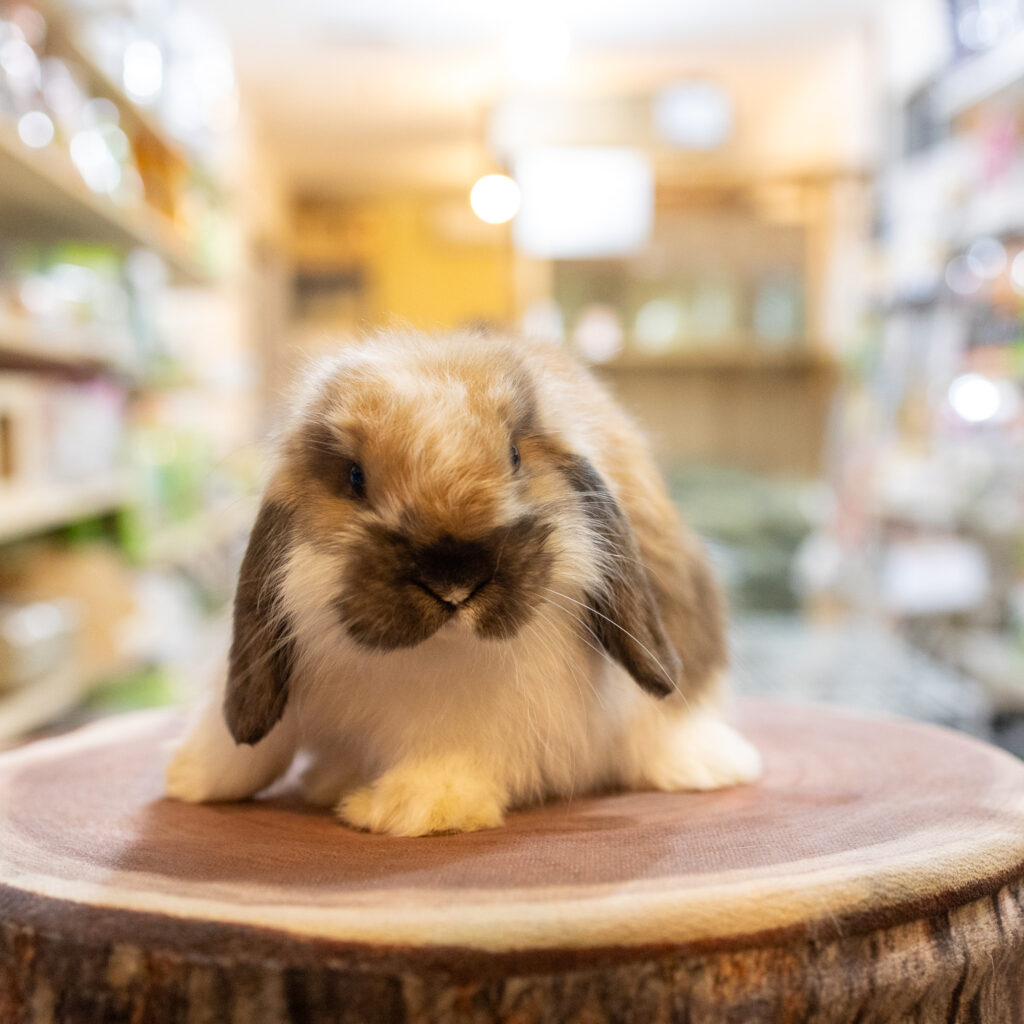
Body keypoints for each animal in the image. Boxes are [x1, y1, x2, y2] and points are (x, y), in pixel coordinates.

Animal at [165, 329, 761, 836]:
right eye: (354, 478)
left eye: (515, 456)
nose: (453, 579)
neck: (438, 652)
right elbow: (241, 744)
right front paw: (190, 779)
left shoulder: (483, 719)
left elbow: (449, 757)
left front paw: (407, 807)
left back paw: (710, 764)